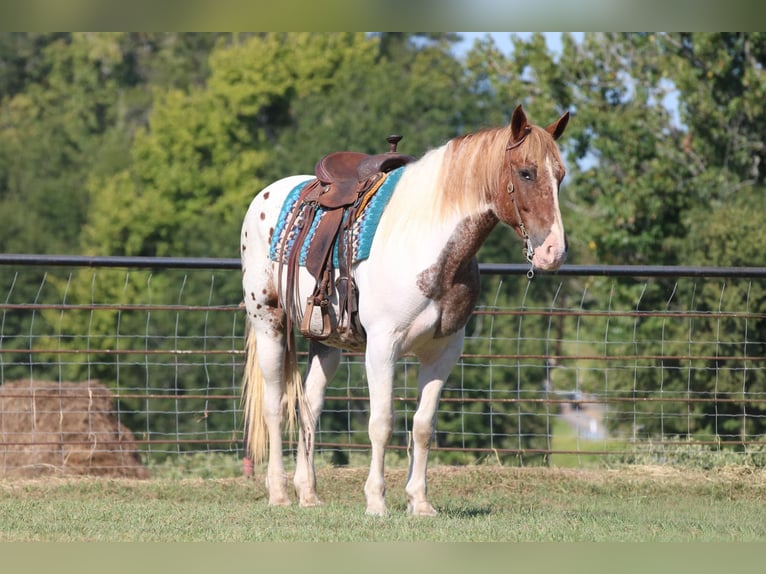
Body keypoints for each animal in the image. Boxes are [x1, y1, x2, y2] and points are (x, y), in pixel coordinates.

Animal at [240, 106, 568, 520]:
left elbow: (423, 425)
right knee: (274, 407)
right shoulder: (383, 347)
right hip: (268, 323)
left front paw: (419, 501)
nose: (554, 251)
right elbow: (382, 423)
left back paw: (308, 492)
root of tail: (267, 195)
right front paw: (376, 501)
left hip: (325, 339)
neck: (427, 244)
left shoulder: (444, 352)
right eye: (526, 172)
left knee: (308, 407)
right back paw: (279, 492)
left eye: (560, 175)